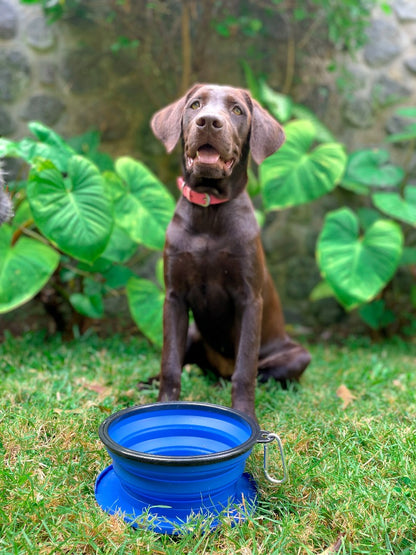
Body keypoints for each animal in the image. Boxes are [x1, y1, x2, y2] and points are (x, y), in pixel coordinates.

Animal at [151, 84, 310, 420]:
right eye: (195, 105)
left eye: (237, 110)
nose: (209, 122)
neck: (209, 210)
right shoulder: (174, 297)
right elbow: (170, 361)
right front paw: (163, 405)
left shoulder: (249, 299)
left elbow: (245, 368)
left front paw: (245, 414)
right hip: (193, 331)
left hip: (297, 354)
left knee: (257, 372)